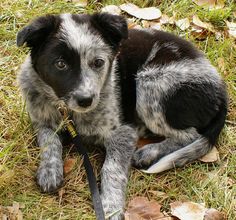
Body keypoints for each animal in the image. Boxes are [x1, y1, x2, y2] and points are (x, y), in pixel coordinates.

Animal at [16, 12, 227, 219]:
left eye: (98, 62)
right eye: (60, 64)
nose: (86, 100)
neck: (69, 112)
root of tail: (221, 90)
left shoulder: (123, 132)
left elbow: (112, 168)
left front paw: (111, 206)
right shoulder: (41, 121)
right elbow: (49, 141)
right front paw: (49, 170)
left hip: (151, 82)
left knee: (190, 135)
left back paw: (149, 151)